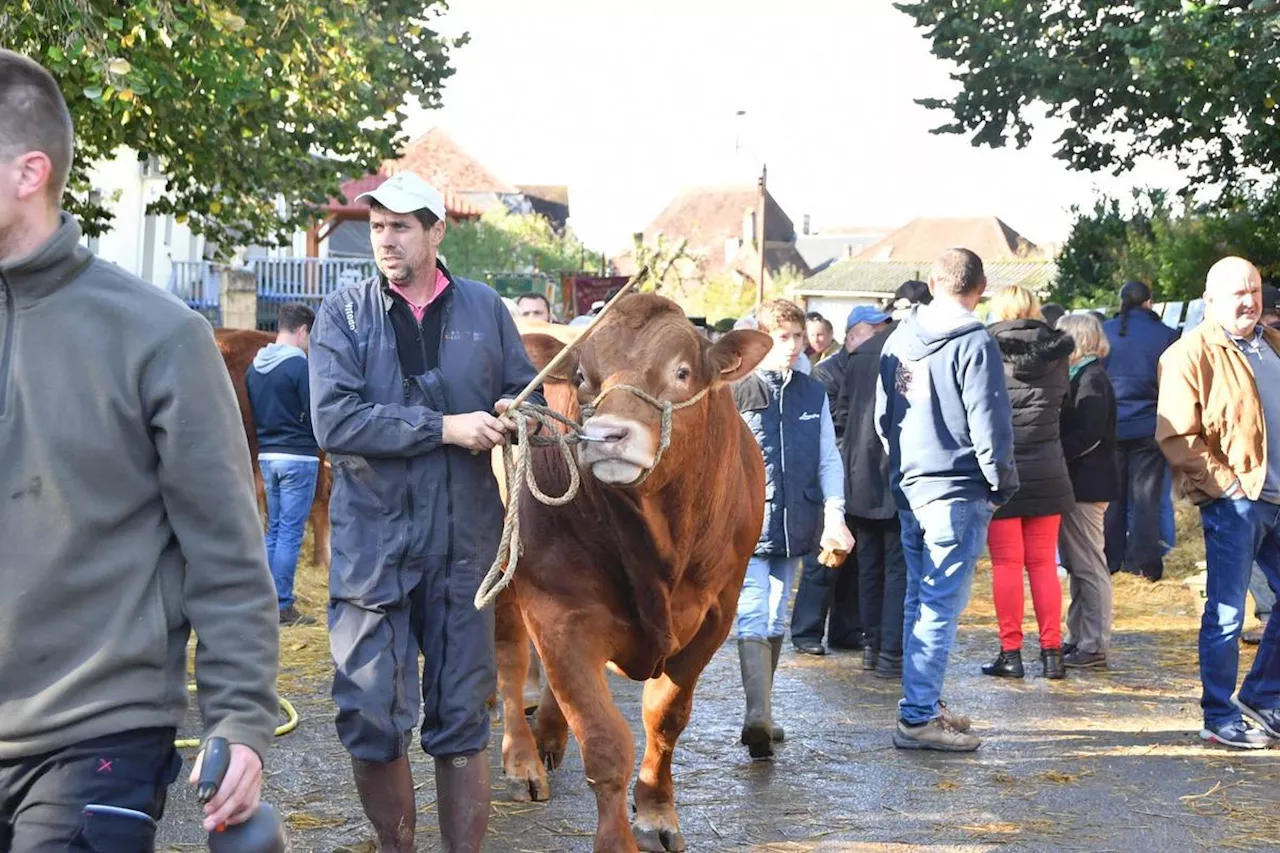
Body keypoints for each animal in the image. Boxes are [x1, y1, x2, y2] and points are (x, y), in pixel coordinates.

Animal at [494, 294, 762, 850]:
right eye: (581, 376)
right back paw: (523, 759)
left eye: (682, 371)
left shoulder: (715, 616)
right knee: (510, 661)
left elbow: (665, 717)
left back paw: (549, 733)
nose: (606, 435)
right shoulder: (558, 611)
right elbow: (604, 739)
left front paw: (657, 814)